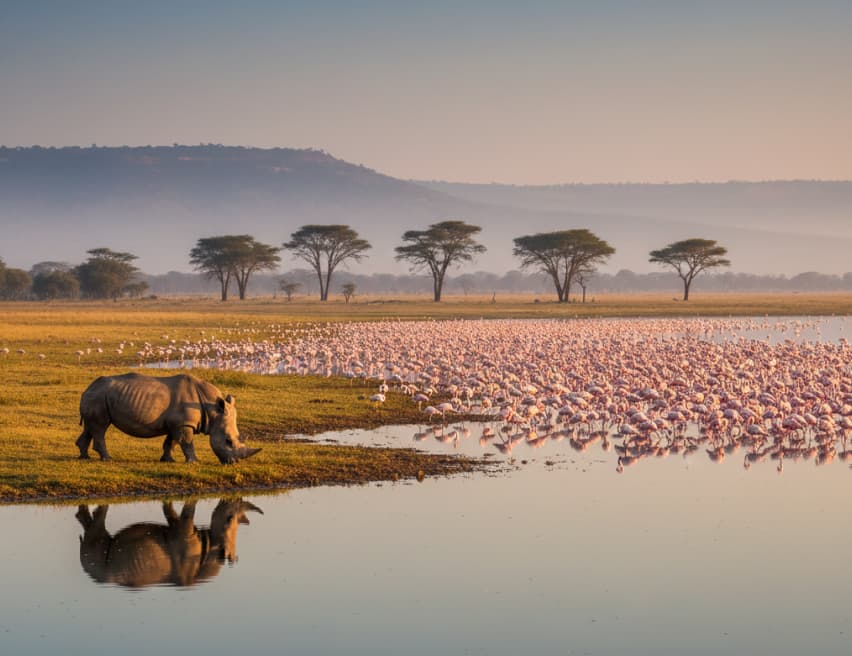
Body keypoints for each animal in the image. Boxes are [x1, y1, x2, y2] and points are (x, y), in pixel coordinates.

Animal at [76, 372, 261, 464]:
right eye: (228, 441)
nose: (234, 463)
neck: (213, 410)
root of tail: (88, 388)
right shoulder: (184, 424)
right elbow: (186, 442)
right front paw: (194, 462)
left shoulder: (177, 423)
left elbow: (171, 442)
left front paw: (168, 460)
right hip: (99, 396)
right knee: (100, 427)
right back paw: (107, 459)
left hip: (97, 396)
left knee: (91, 427)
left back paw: (84, 457)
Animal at [76, 498, 263, 588]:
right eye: (229, 518)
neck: (210, 548)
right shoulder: (183, 531)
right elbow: (187, 513)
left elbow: (170, 512)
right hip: (100, 566)